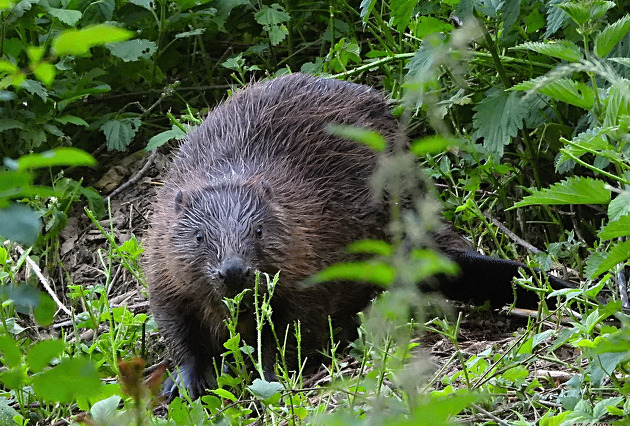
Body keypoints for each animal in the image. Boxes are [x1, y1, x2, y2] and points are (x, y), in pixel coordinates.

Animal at [147, 74, 572, 400]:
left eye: (259, 229)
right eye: (198, 236)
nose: (233, 271)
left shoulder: (313, 260)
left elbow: (291, 331)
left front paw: (263, 375)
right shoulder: (162, 265)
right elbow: (178, 328)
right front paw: (182, 383)